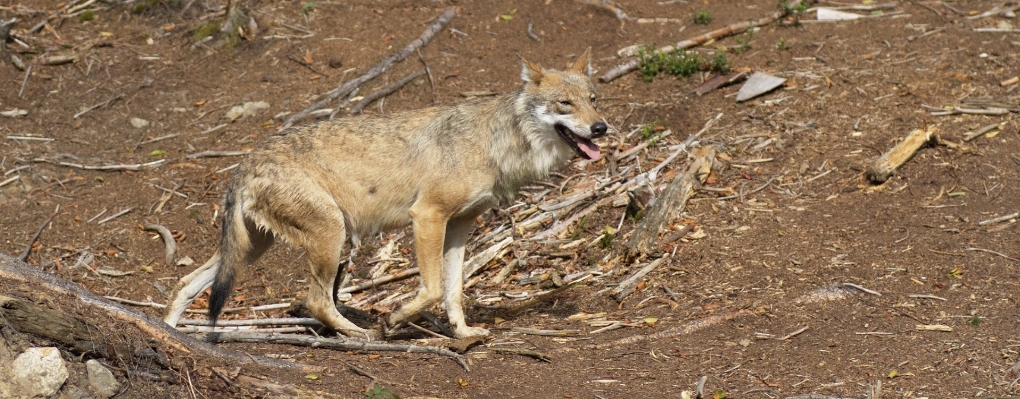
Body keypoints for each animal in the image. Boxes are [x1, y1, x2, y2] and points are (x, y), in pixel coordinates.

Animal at [160, 47, 603, 340]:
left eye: (593, 100)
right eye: (565, 103)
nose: (601, 128)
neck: (495, 144)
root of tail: (246, 160)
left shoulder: (460, 225)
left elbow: (454, 291)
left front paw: (462, 334)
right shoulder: (427, 217)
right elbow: (432, 288)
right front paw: (394, 319)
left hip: (253, 249)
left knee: (185, 282)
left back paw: (168, 335)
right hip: (329, 234)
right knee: (317, 301)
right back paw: (361, 333)